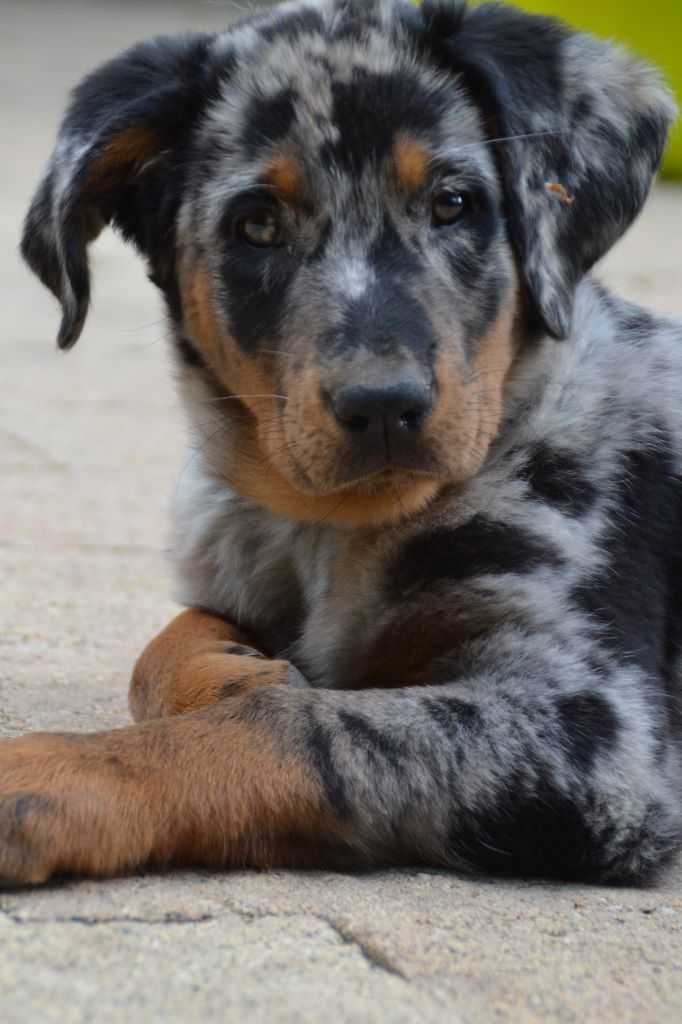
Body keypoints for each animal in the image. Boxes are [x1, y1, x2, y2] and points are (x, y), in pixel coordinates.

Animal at [2, 0, 675, 884]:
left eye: (454, 203)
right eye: (256, 226)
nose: (383, 405)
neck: (325, 532)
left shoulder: (595, 729)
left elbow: (301, 732)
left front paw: (48, 770)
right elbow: (169, 646)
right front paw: (233, 671)